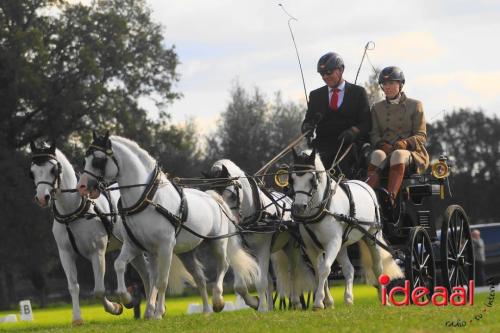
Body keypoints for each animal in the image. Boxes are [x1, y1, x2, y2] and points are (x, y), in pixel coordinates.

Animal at [77, 134, 262, 318]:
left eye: (98, 160)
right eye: (85, 158)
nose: (82, 186)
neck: (148, 200)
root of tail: (214, 198)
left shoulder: (165, 246)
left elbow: (161, 281)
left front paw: (158, 313)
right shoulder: (135, 246)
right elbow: (120, 265)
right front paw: (128, 300)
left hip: (217, 242)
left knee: (223, 265)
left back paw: (218, 301)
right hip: (186, 253)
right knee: (200, 278)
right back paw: (206, 310)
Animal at [206, 158, 312, 308]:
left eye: (232, 195)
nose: (229, 222)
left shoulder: (263, 248)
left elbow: (260, 282)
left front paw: (261, 308)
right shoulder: (243, 251)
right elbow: (240, 286)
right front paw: (255, 303)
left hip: (291, 247)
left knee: (293, 273)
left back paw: (297, 303)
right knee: (271, 281)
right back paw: (271, 308)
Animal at [290, 148, 402, 308]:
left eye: (311, 179)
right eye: (292, 179)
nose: (299, 207)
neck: (324, 208)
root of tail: (365, 185)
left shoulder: (332, 243)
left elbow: (325, 269)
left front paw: (318, 302)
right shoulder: (311, 247)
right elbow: (318, 272)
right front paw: (327, 301)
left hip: (373, 236)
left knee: (377, 267)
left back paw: (384, 298)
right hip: (342, 245)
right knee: (349, 269)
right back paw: (348, 298)